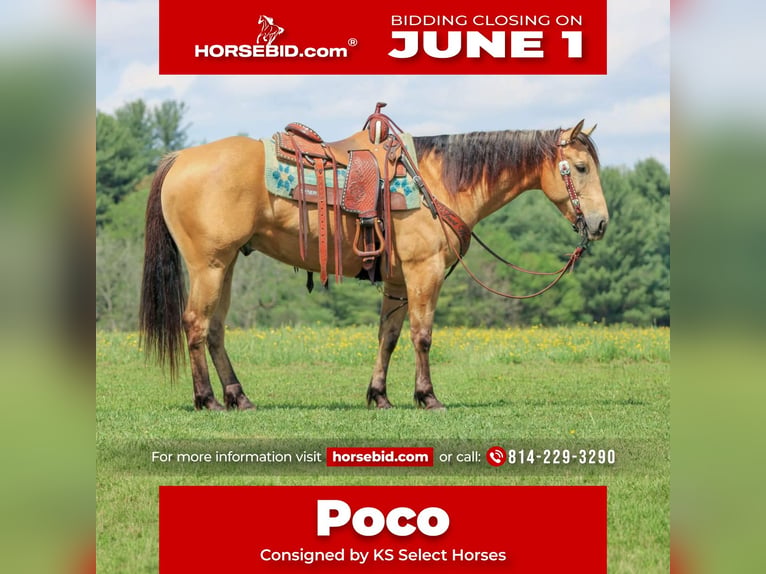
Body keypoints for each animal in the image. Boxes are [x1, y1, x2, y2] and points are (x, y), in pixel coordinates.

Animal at [139, 111, 608, 411]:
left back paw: (239, 396)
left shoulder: (398, 282)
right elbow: (422, 336)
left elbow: (389, 337)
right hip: (209, 265)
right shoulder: (424, 272)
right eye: (581, 167)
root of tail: (180, 158)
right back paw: (208, 399)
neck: (437, 182)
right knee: (196, 324)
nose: (601, 223)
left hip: (227, 264)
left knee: (216, 330)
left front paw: (379, 395)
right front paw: (427, 396)